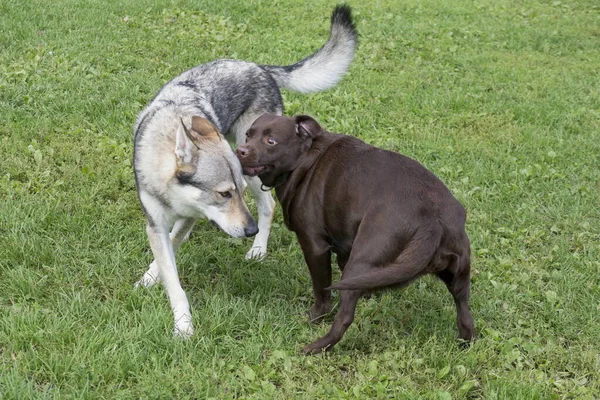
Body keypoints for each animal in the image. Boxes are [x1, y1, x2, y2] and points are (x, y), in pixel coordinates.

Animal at [234, 114, 474, 354]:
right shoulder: (344, 245)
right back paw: (465, 342)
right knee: (465, 312)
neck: (306, 158)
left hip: (363, 258)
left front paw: (315, 317)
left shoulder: (315, 246)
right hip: (458, 274)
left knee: (344, 318)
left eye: (271, 141)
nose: (240, 150)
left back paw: (314, 347)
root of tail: (431, 221)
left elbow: (322, 289)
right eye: (248, 135)